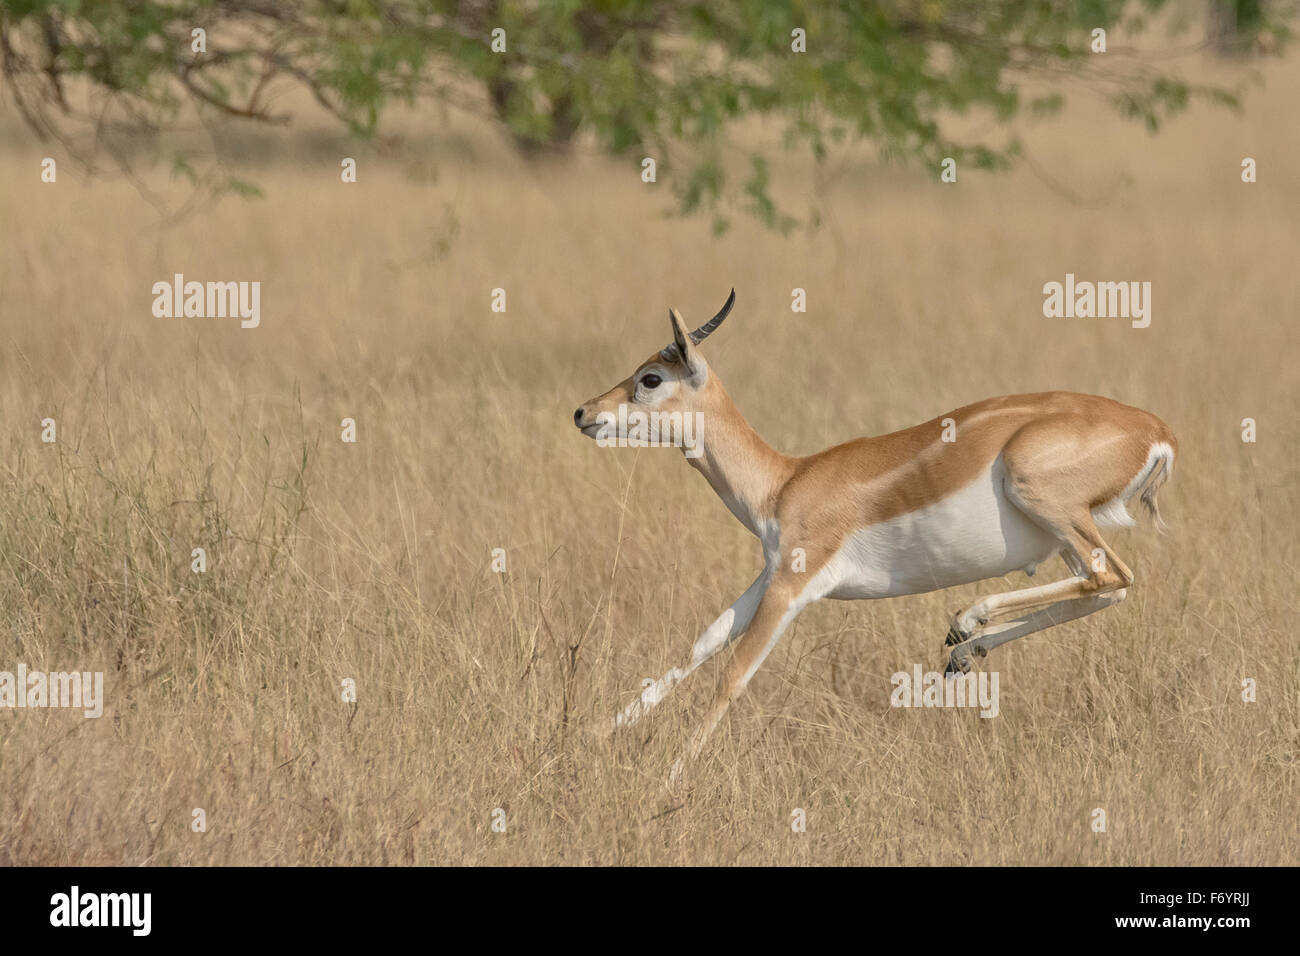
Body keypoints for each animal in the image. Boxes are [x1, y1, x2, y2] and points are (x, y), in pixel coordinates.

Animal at [574, 290, 1175, 770]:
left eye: (651, 378)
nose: (583, 412)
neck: (783, 481)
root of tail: (1156, 430)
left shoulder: (793, 586)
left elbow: (734, 674)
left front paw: (667, 776)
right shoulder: (769, 575)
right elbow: (702, 644)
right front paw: (591, 735)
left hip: (1046, 501)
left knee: (1114, 576)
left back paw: (967, 622)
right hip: (1065, 536)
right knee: (1106, 589)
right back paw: (963, 649)